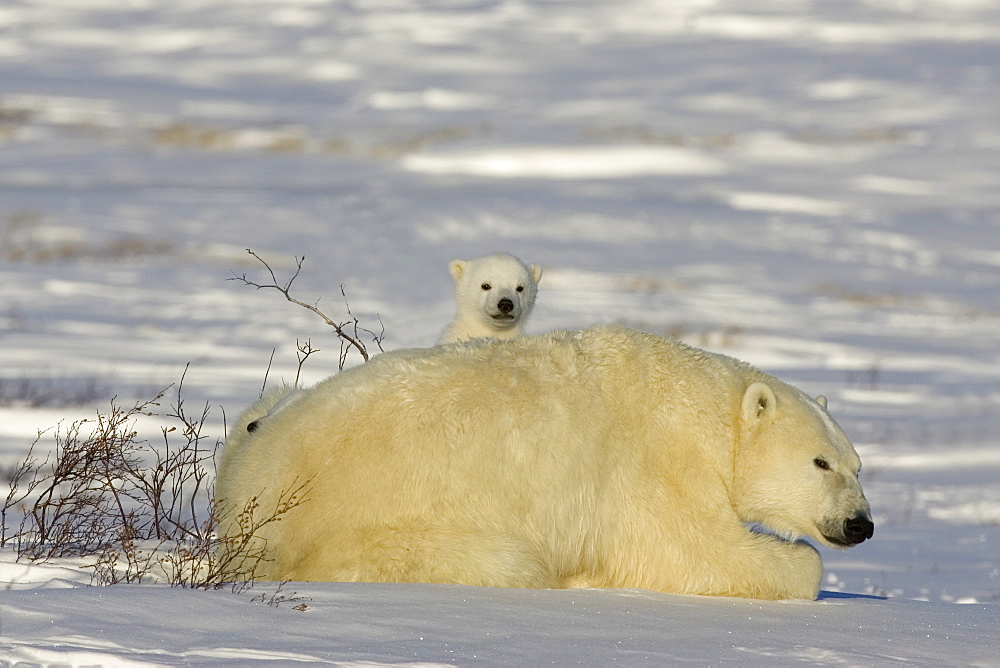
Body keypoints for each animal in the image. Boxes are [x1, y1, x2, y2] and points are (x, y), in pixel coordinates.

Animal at [215, 324, 872, 600]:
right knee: (508, 561)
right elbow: (696, 550)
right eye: (821, 462)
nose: (860, 524)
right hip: (385, 531)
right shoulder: (651, 468)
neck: (701, 408)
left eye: (857, 464)